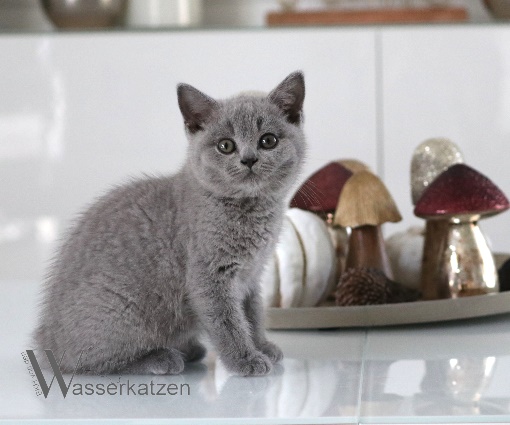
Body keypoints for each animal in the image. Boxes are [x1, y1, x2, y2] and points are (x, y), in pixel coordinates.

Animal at [33, 71, 306, 377]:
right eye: (225, 146)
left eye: (268, 140)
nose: (248, 159)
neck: (250, 209)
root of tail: (46, 341)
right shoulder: (209, 276)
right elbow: (228, 322)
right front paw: (244, 359)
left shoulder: (251, 275)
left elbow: (253, 312)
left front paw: (262, 346)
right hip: (119, 313)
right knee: (92, 362)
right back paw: (161, 358)